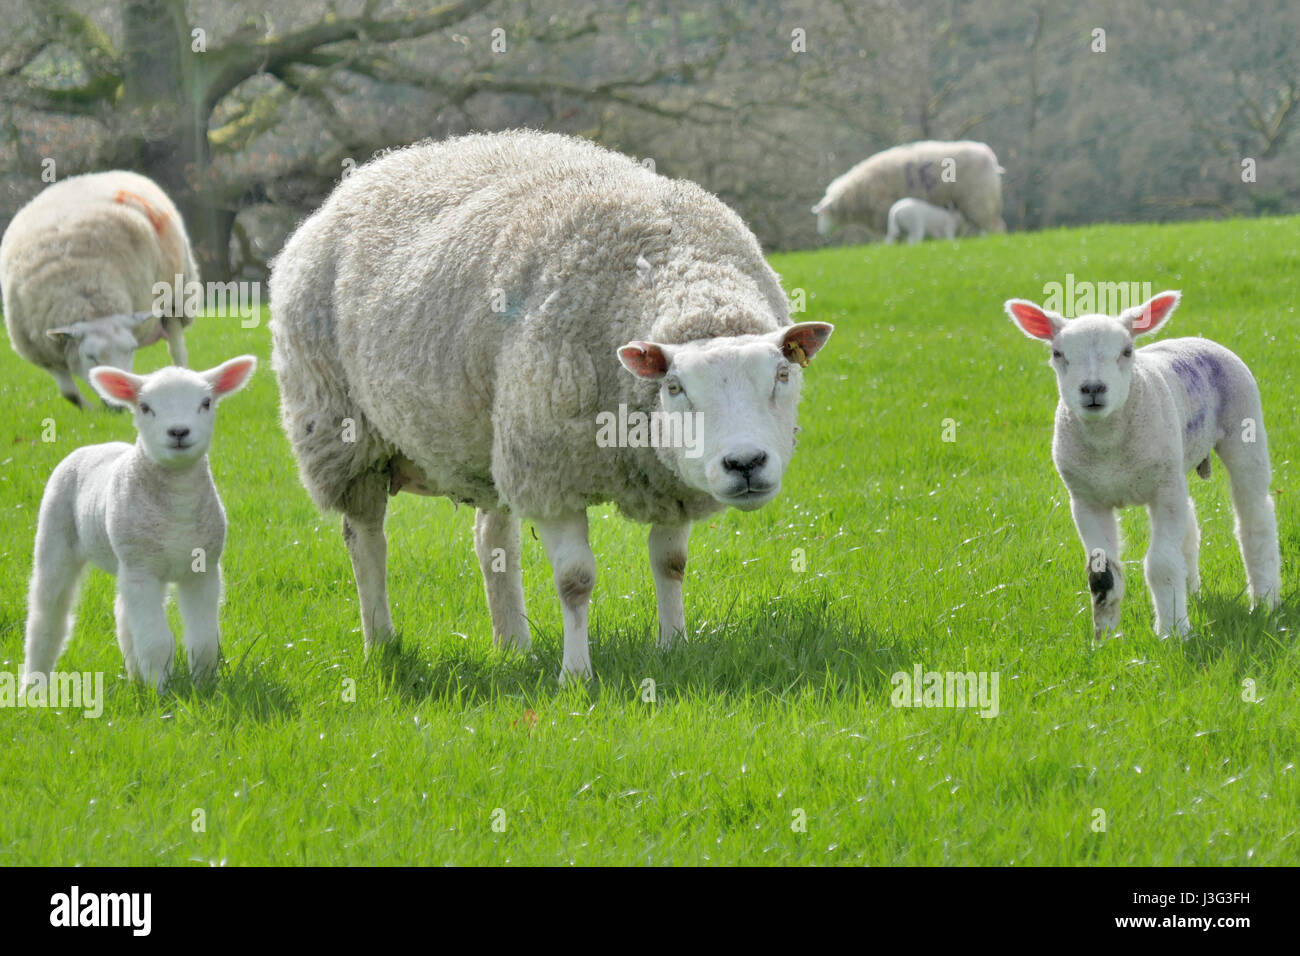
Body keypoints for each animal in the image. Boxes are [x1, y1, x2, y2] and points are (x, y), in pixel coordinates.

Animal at [0, 169, 200, 408]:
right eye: (90, 356)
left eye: (130, 350)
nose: (118, 405)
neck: (88, 299)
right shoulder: (46, 353)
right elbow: (69, 394)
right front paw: (92, 411)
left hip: (174, 300)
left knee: (177, 350)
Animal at [22, 356, 254, 691]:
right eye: (145, 407)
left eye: (206, 403)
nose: (178, 431)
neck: (178, 510)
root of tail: (95, 446)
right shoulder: (143, 571)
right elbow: (157, 642)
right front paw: (161, 691)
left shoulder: (203, 570)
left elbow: (204, 641)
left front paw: (204, 686)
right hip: (58, 535)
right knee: (47, 615)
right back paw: (35, 685)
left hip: (134, 561)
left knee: (122, 611)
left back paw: (134, 676)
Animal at [270, 128, 837, 681]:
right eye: (675, 388)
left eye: (782, 375)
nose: (745, 463)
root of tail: (369, 173)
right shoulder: (552, 472)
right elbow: (575, 581)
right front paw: (575, 676)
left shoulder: (668, 476)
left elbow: (670, 563)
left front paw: (672, 646)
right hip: (343, 434)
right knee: (367, 541)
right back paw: (383, 645)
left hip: (495, 437)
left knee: (493, 541)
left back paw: (512, 645)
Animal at [811, 141, 1003, 239]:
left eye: (824, 214)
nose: (821, 232)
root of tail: (991, 158)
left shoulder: (884, 213)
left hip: (979, 200)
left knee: (995, 227)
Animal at [1003, 287, 1279, 639]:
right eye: (1057, 353)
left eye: (1127, 351)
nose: (1092, 389)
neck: (1108, 447)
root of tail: (1197, 341)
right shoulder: (1086, 499)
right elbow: (1101, 574)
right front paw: (1105, 638)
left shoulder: (1163, 490)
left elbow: (1161, 563)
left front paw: (1173, 633)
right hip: (1175, 463)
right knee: (1190, 520)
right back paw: (1191, 590)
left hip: (1244, 427)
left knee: (1255, 517)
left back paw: (1265, 600)